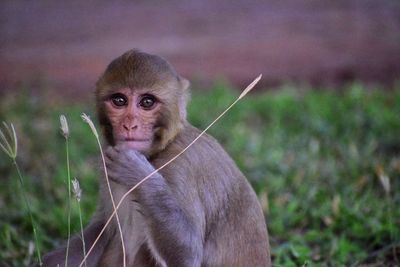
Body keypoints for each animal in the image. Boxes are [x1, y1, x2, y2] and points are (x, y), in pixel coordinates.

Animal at [39, 49, 272, 266]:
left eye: (147, 102)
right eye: (119, 100)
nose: (129, 125)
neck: (160, 150)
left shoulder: (181, 168)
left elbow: (188, 254)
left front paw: (137, 173)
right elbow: (103, 229)